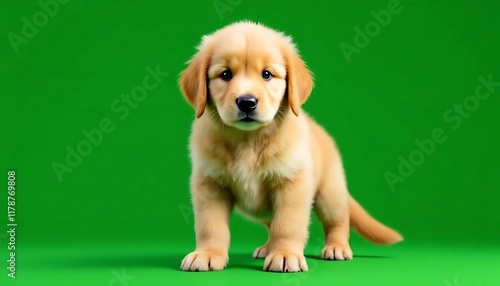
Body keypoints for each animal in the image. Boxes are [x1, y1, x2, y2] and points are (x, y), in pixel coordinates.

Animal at [178, 20, 400, 272]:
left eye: (267, 74)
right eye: (225, 74)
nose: (247, 102)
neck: (248, 140)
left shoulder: (292, 182)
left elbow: (287, 224)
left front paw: (284, 254)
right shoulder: (210, 184)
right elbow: (210, 225)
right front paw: (207, 253)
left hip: (330, 193)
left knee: (338, 221)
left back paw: (337, 247)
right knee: (270, 223)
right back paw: (267, 247)